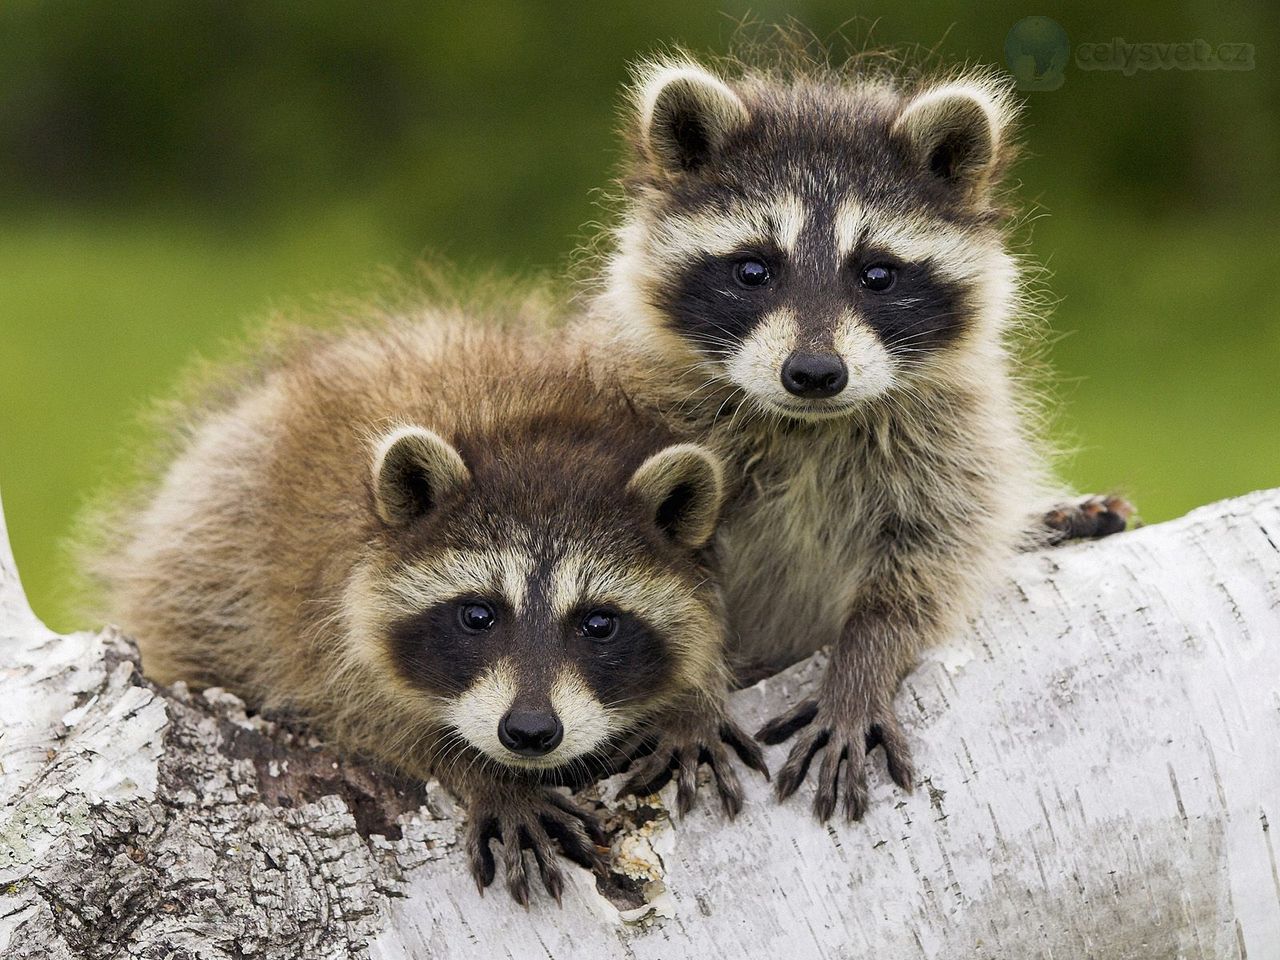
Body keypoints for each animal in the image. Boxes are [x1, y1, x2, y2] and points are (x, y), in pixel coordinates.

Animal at [92, 312, 768, 906]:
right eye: (478, 615)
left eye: (599, 624)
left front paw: (691, 701)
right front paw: (483, 773)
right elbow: (358, 709)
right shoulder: (311, 607)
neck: (532, 427)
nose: (529, 732)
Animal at [581, 54, 1131, 819]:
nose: (814, 373)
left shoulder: (952, 433)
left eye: (877, 274)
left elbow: (930, 558)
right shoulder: (640, 414)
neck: (810, 425)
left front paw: (863, 664)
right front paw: (689, 700)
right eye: (753, 270)